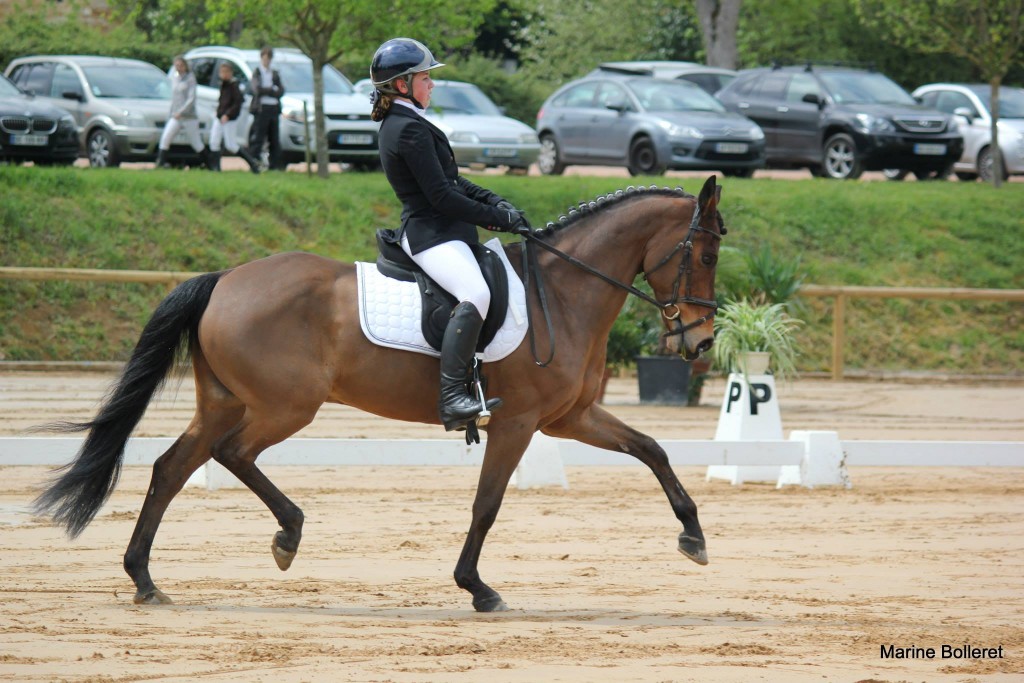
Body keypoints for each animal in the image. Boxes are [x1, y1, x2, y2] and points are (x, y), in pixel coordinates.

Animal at [36, 174, 724, 610]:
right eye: (706, 254)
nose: (700, 342)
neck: (561, 290)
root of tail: (224, 279)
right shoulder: (518, 422)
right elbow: (487, 505)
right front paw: (477, 588)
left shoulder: (571, 417)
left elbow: (652, 448)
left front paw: (694, 538)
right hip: (285, 405)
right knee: (230, 455)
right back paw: (286, 535)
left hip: (228, 401)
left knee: (173, 467)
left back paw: (146, 579)